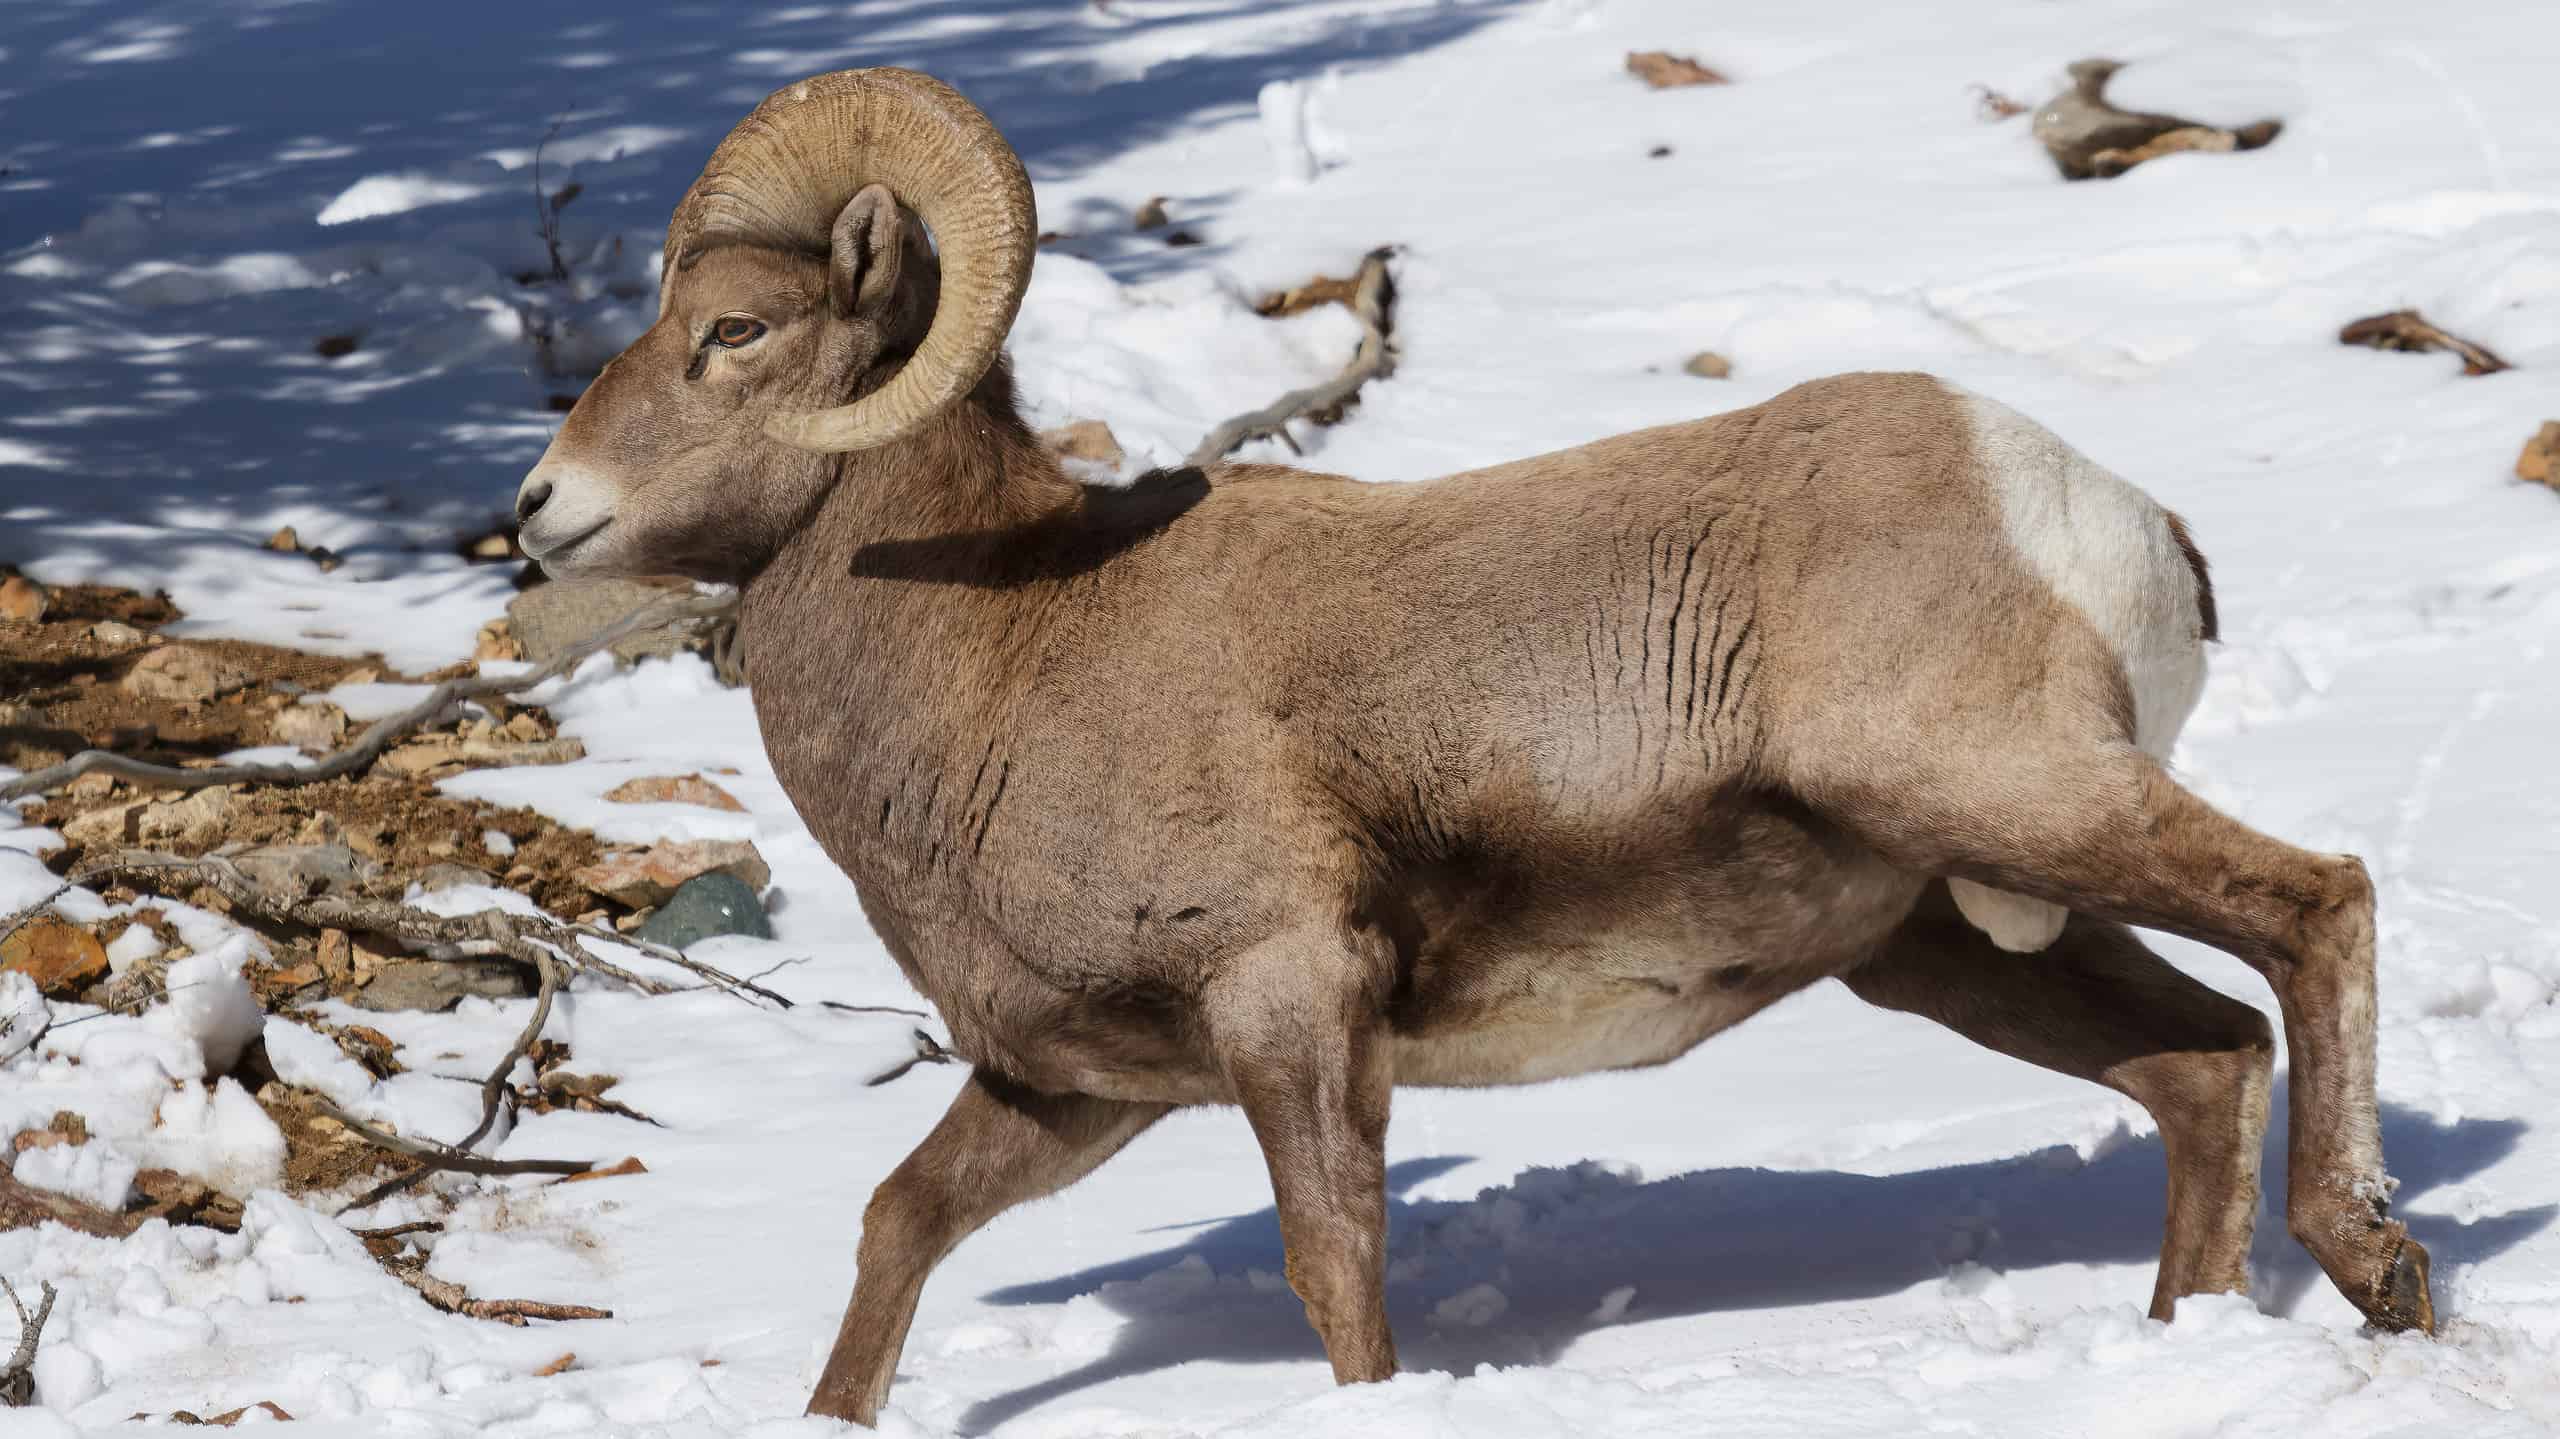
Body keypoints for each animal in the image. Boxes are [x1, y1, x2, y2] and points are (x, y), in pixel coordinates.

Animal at [519, 70, 2437, 1423]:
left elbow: (1335, 1269)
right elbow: (897, 1224)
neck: (1011, 643)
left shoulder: (1291, 1004)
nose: (537, 514)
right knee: (2205, 1062)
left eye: (738, 331)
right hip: (1951, 934)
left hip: (2008, 800)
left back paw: (2376, 1261)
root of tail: (2108, 515)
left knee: (2315, 901)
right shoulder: (1080, 1083)